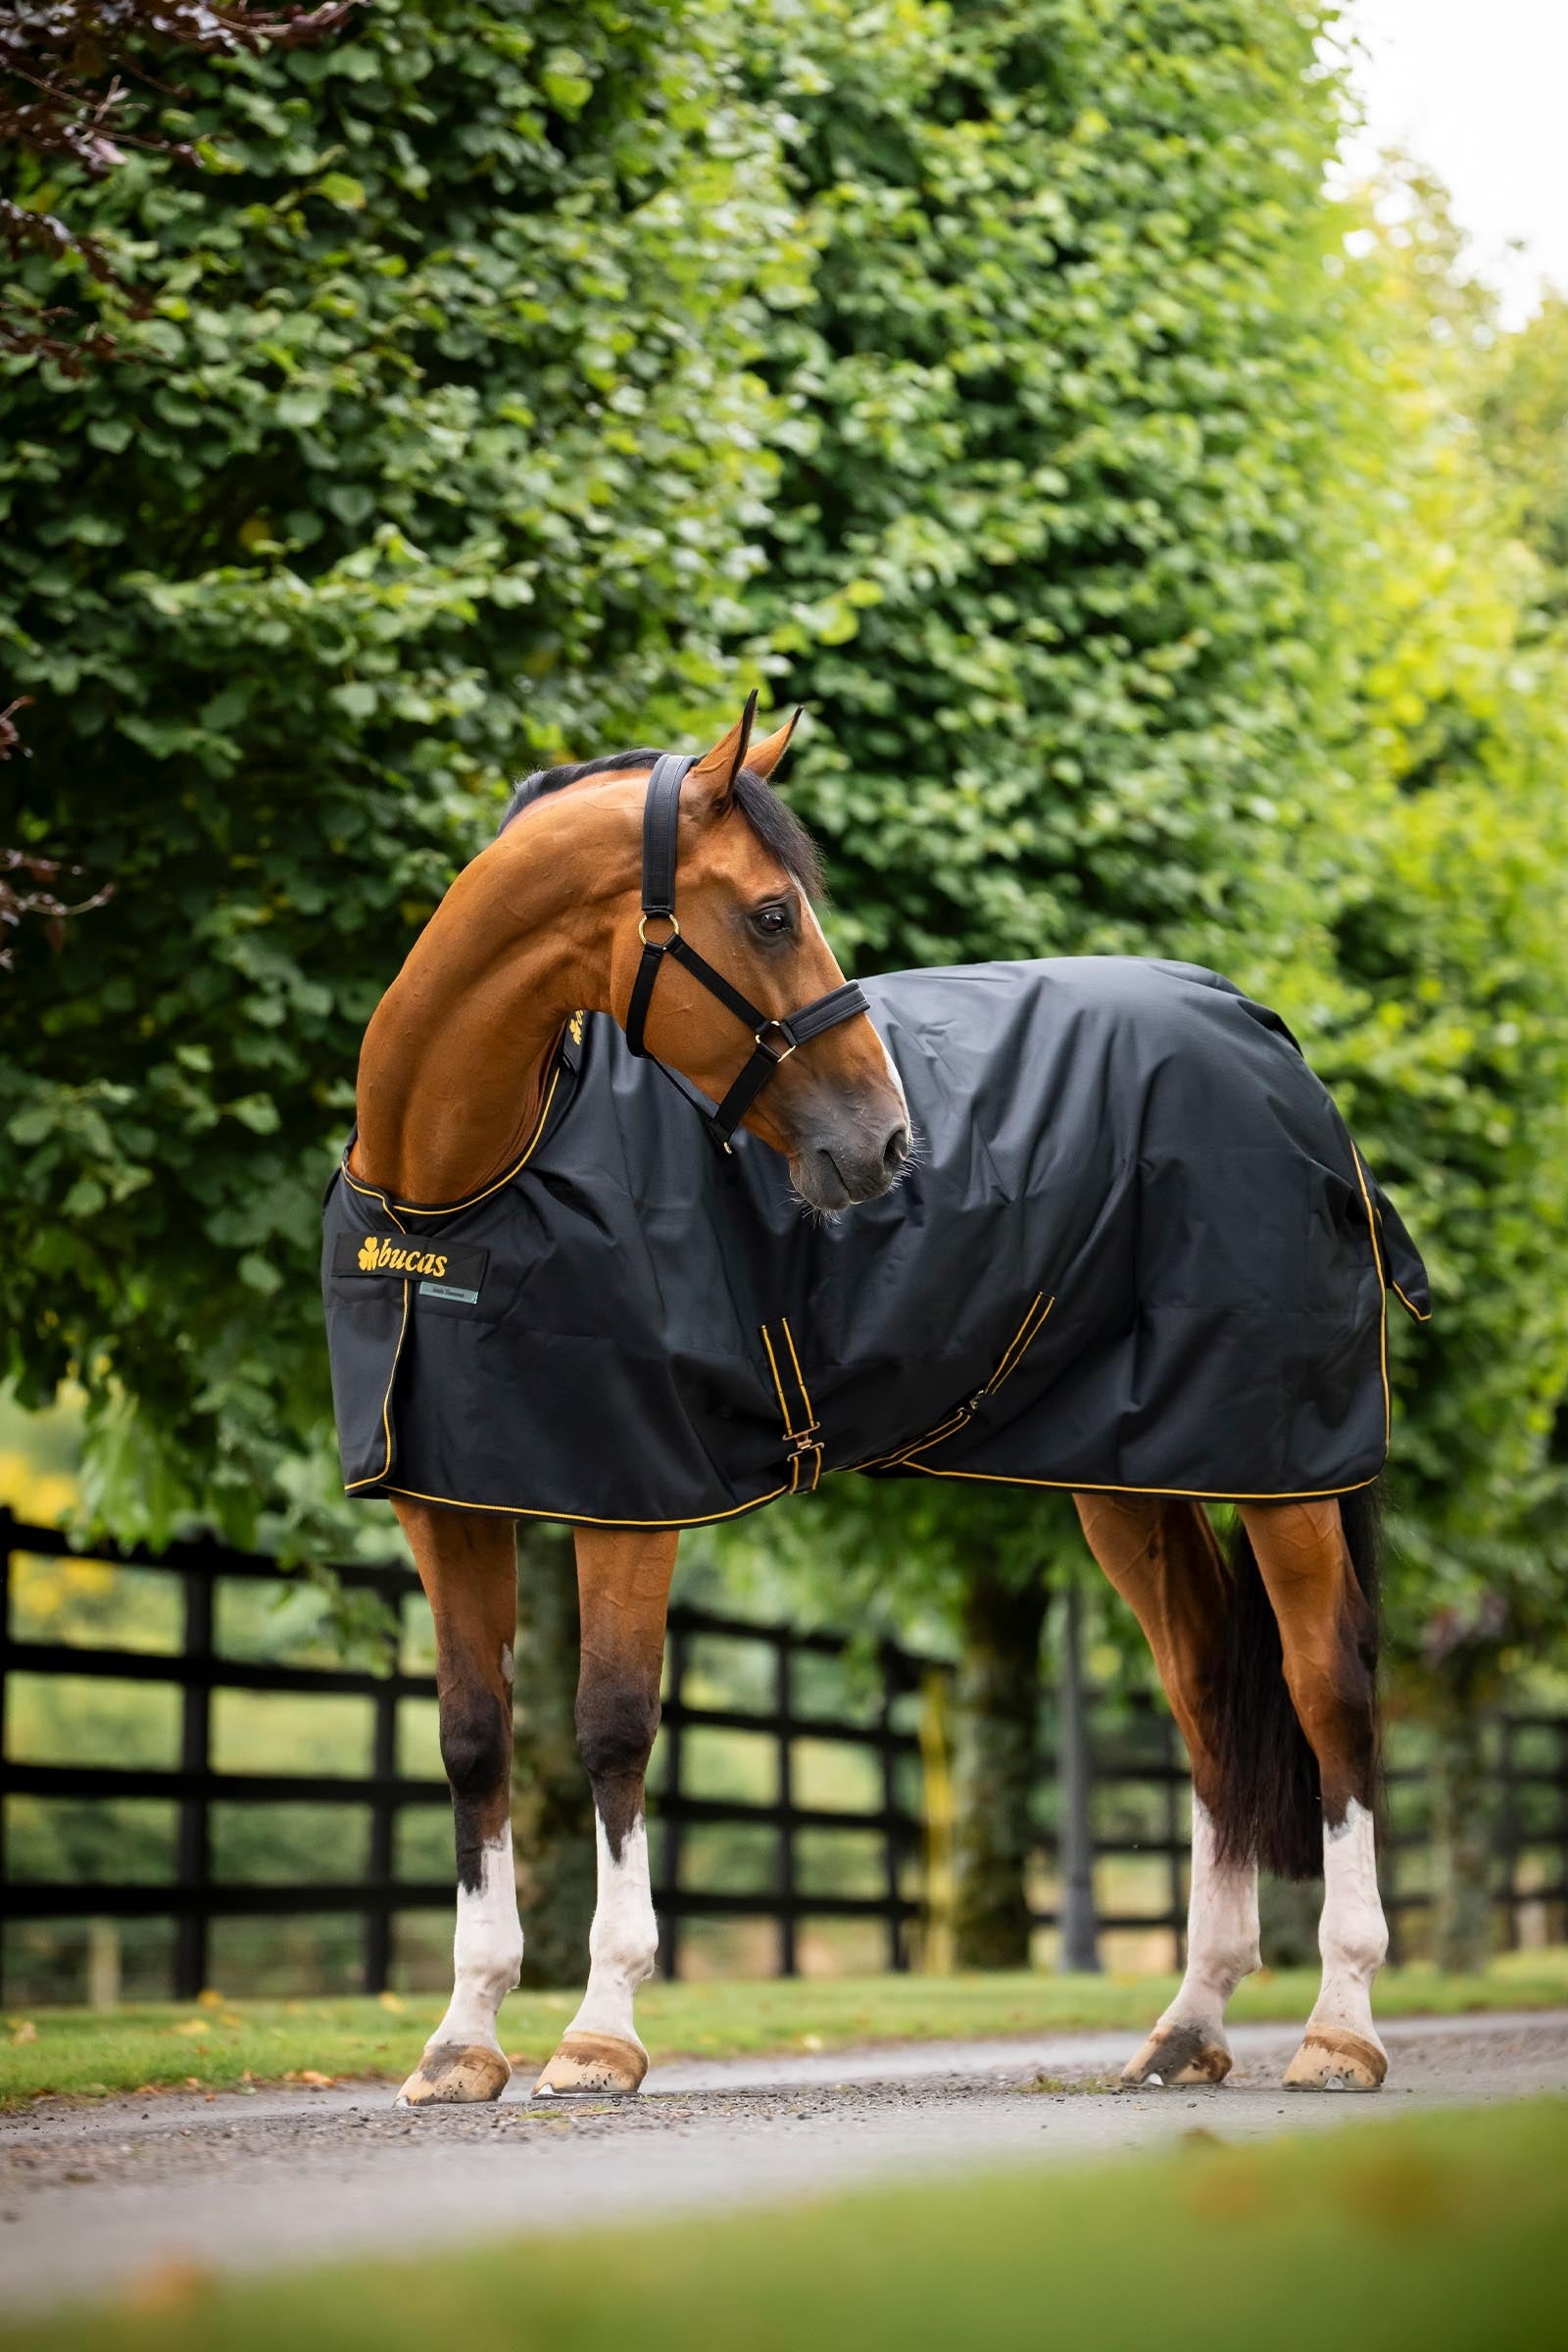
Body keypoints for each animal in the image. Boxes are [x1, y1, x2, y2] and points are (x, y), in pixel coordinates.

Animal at [331, 697, 1405, 2106]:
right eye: (772, 912)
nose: (888, 1144)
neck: (469, 1183)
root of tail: (1264, 1033)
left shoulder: (634, 1502)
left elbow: (613, 1730)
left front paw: (600, 2031)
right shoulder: (450, 1503)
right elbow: (472, 1743)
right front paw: (460, 2040)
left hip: (1279, 1467)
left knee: (1327, 1691)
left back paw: (1341, 2026)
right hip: (1136, 1478)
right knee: (1209, 1704)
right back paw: (1189, 2023)